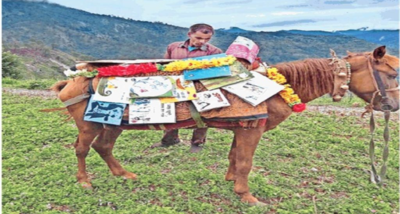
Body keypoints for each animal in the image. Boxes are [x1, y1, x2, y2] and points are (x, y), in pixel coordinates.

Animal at [51, 46, 398, 206]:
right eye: (393, 73)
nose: (393, 106)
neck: (277, 87)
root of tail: (74, 80)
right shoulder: (252, 131)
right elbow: (245, 162)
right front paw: (247, 196)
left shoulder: (244, 127)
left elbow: (235, 158)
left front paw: (231, 181)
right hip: (88, 124)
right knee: (82, 149)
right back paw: (85, 182)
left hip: (111, 124)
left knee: (103, 147)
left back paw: (123, 175)